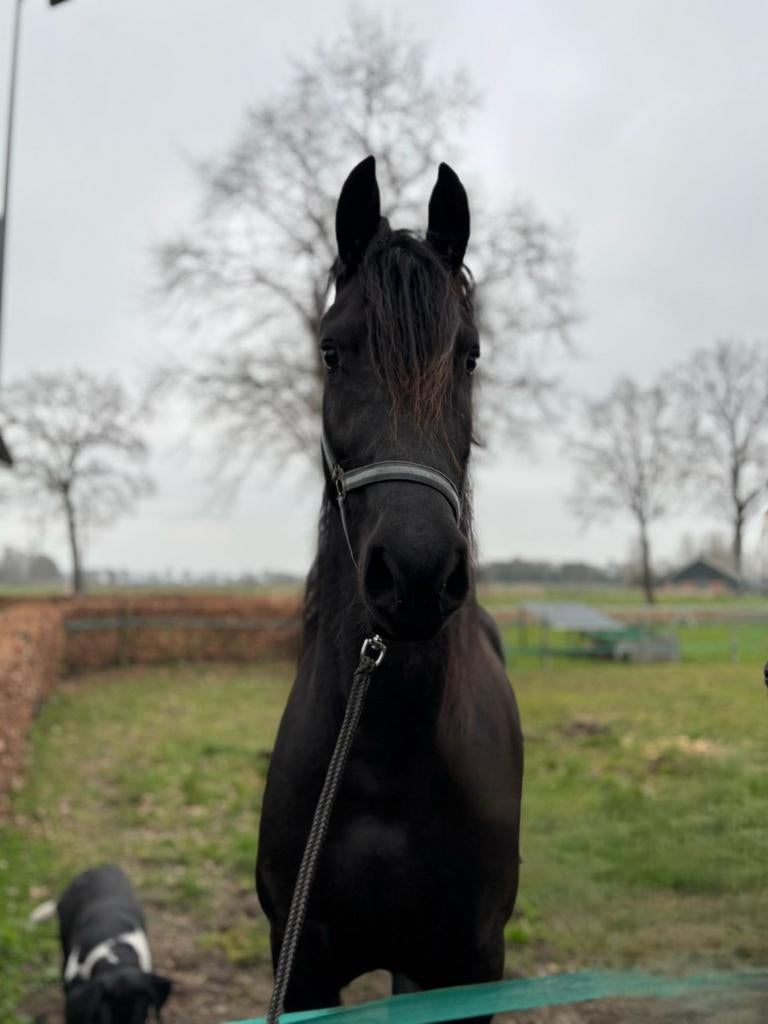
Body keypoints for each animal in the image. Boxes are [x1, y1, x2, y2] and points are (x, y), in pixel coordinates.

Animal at [256, 155, 523, 1019]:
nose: (415, 572)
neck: (380, 758)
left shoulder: (470, 965)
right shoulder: (300, 963)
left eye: (468, 355)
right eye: (332, 352)